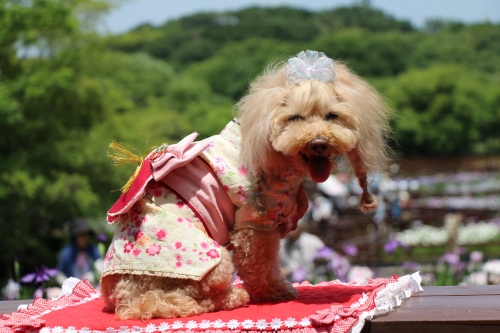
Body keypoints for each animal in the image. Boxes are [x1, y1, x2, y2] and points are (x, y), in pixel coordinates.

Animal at [98, 51, 390, 320]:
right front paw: (275, 291)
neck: (273, 154)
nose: (318, 143)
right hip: (210, 264)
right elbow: (260, 262)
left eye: (332, 116)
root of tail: (126, 298)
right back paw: (233, 296)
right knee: (186, 300)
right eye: (295, 118)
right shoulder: (255, 220)